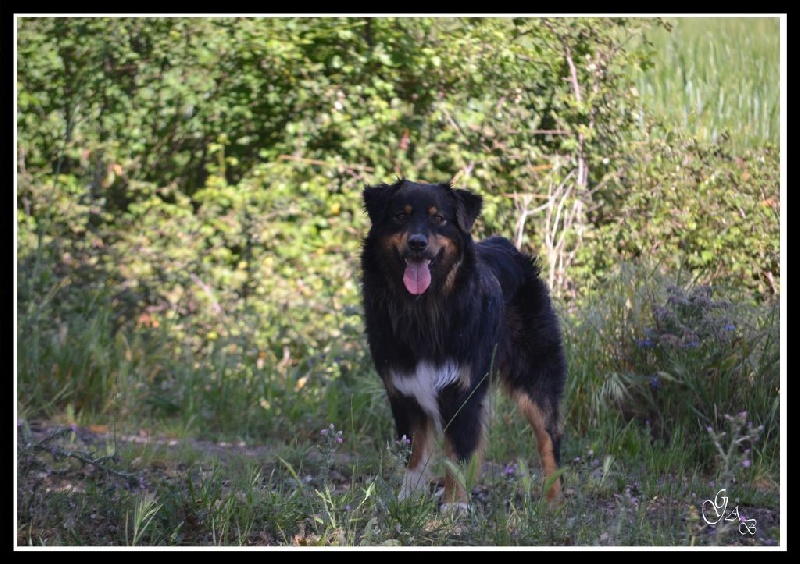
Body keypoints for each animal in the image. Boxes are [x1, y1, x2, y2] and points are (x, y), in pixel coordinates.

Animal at [360, 180, 564, 512]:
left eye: (439, 218)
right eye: (400, 216)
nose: (417, 243)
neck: (424, 308)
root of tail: (507, 246)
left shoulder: (462, 391)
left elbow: (458, 453)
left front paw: (455, 505)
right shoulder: (404, 390)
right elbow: (414, 452)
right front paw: (408, 498)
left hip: (536, 377)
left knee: (549, 441)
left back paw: (552, 501)